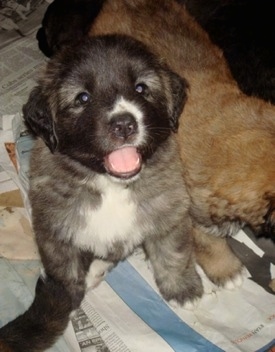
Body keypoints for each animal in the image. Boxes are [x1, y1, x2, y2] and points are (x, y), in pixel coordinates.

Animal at [0, 34, 203, 350]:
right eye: (83, 98)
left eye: (141, 88)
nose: (124, 124)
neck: (110, 185)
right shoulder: (53, 227)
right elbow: (64, 271)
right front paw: (62, 306)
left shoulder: (169, 208)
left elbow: (174, 252)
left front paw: (183, 290)